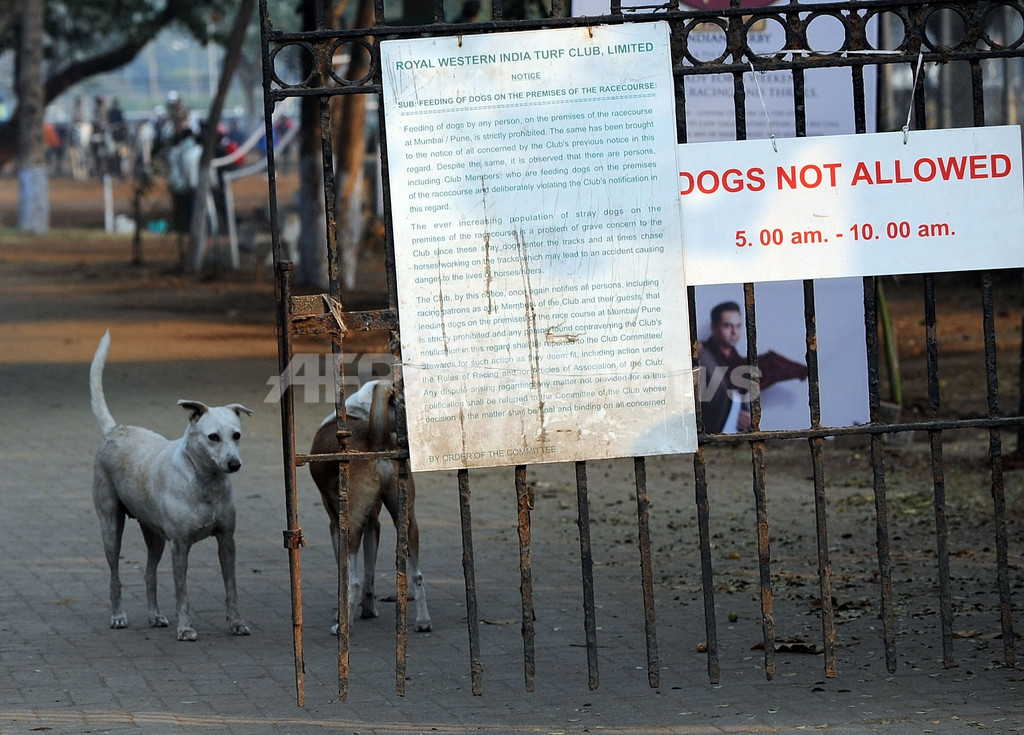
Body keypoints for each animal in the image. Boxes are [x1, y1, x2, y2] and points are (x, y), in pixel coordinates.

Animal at [91, 331, 252, 642]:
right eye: (212, 437)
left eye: (236, 435)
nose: (234, 464)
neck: (203, 482)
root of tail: (114, 430)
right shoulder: (180, 546)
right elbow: (182, 594)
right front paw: (186, 628)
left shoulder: (227, 541)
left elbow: (232, 588)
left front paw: (236, 623)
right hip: (110, 526)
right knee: (114, 573)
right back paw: (118, 616)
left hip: (154, 535)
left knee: (149, 573)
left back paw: (154, 616)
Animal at [305, 380, 430, 634]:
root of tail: (376, 437)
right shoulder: (373, 523)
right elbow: (370, 573)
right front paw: (368, 609)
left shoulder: (335, 524)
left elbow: (346, 578)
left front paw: (343, 611)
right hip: (407, 522)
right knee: (417, 575)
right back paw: (423, 621)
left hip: (350, 526)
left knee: (353, 581)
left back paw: (341, 627)